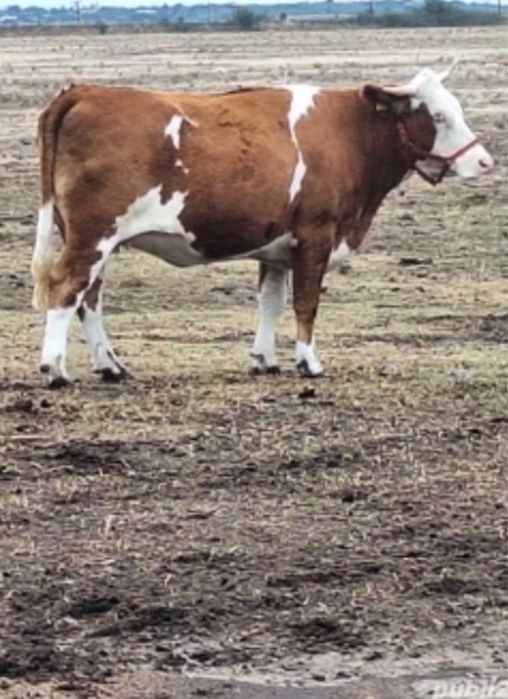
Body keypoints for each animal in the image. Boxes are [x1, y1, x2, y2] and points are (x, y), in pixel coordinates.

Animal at [31, 64, 493, 387]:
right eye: (438, 116)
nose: (485, 161)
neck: (350, 133)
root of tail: (85, 91)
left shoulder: (276, 249)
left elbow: (270, 302)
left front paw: (264, 359)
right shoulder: (315, 237)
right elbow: (306, 303)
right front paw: (309, 362)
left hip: (94, 240)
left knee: (89, 298)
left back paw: (109, 366)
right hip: (93, 237)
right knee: (67, 288)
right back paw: (55, 368)